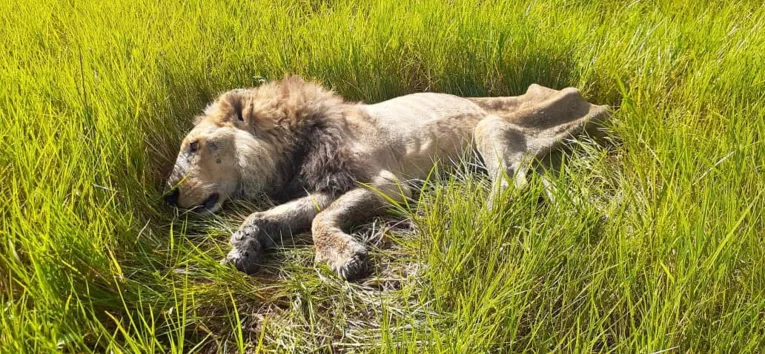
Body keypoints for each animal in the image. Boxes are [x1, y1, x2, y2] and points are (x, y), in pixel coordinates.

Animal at [167, 76, 608, 280]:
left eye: (194, 145)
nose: (167, 197)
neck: (291, 145)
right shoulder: (328, 185)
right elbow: (273, 216)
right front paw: (244, 246)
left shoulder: (387, 184)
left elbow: (318, 220)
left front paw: (341, 256)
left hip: (493, 126)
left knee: (512, 187)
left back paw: (472, 225)